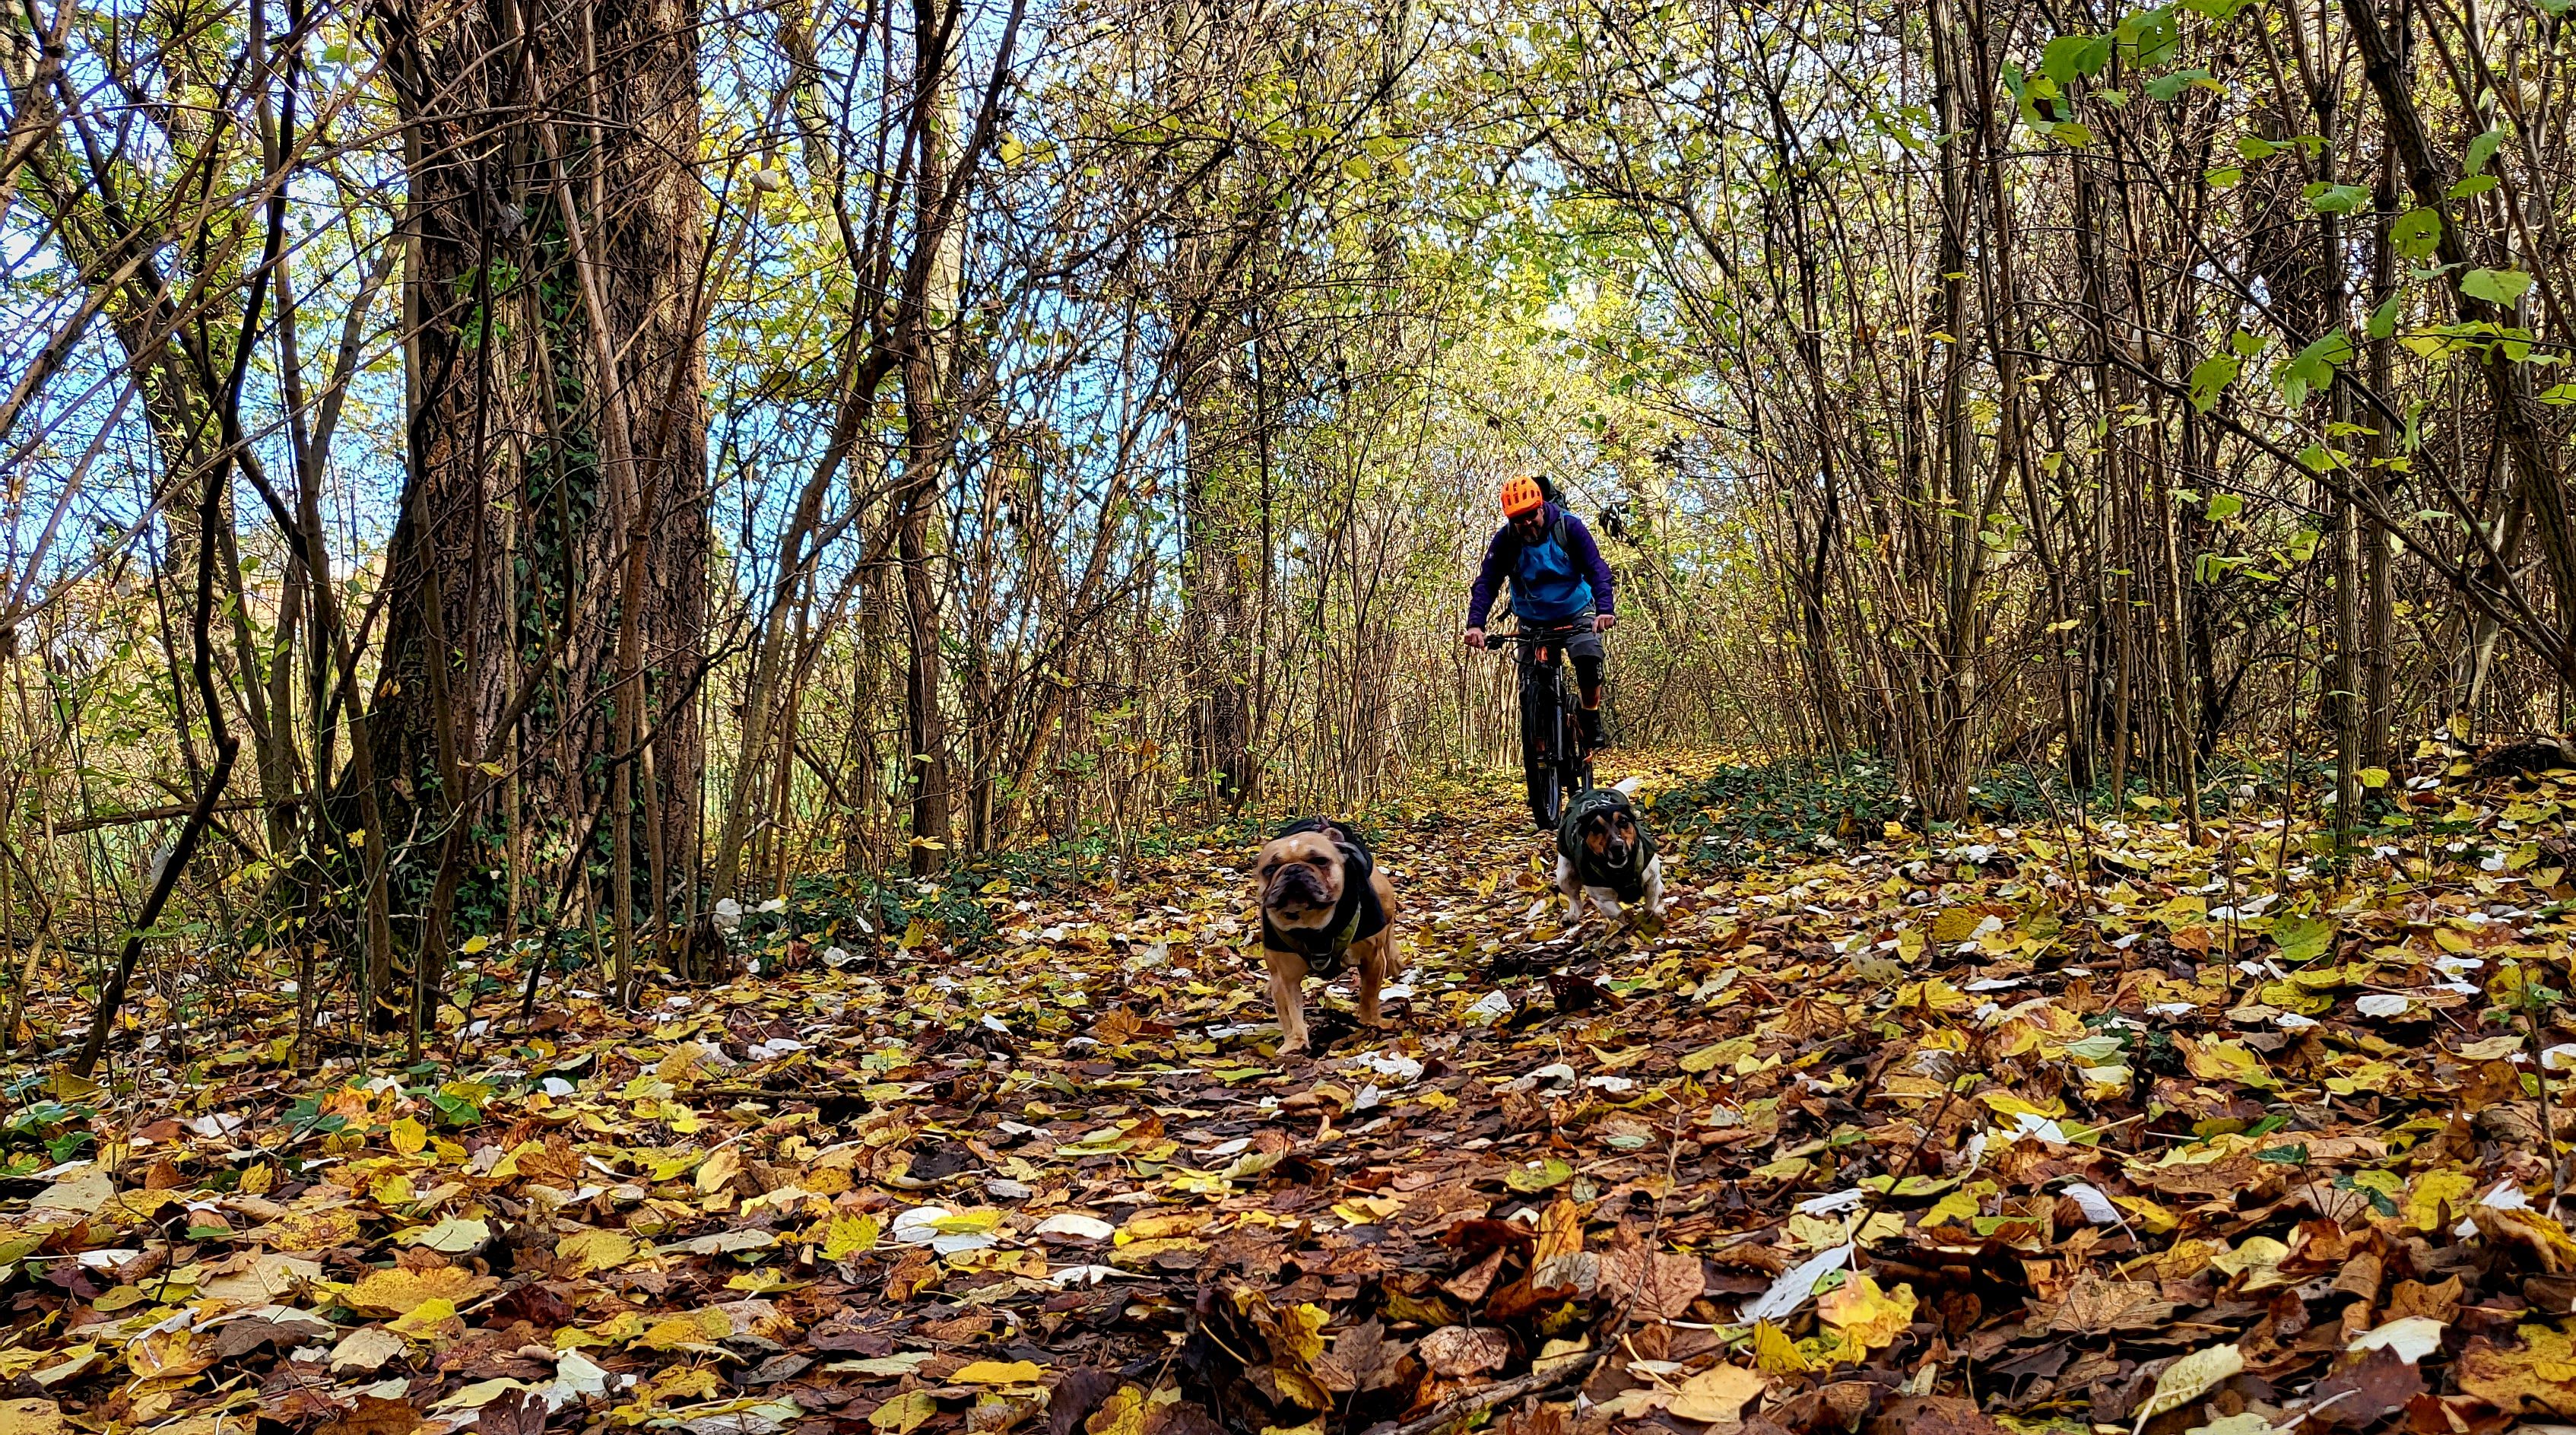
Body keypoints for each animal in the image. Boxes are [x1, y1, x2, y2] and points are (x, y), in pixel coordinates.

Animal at [1253, 817, 1399, 1055]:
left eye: (1321, 861)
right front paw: (1294, 1043)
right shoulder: (1284, 978)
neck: (1313, 924)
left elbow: (1369, 995)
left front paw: (1371, 1023)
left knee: (1390, 933)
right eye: (1270, 869)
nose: (1294, 870)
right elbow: (1291, 1013)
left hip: (1385, 903)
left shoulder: (1372, 959)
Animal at [1554, 780, 1666, 931]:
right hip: (1565, 875)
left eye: (1623, 821)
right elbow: (1617, 914)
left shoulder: (1651, 879)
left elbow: (1650, 905)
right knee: (1574, 899)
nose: (1617, 846)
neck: (1621, 870)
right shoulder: (1602, 897)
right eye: (1595, 828)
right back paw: (1572, 915)